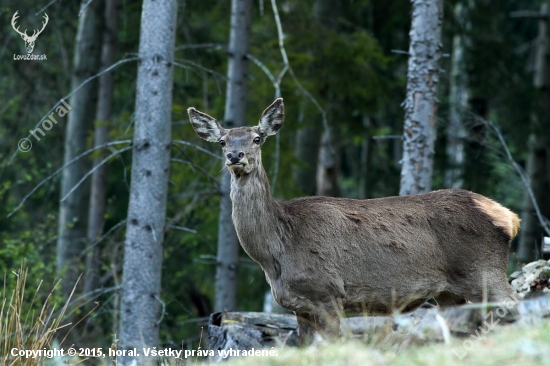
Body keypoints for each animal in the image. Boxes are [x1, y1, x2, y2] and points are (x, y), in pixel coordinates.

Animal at [188, 98, 524, 344]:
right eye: (222, 141)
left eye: (257, 138)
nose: (235, 155)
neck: (276, 252)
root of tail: (509, 217)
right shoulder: (300, 307)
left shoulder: (328, 293)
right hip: (450, 292)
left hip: (483, 270)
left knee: (515, 305)